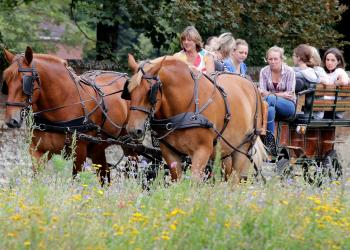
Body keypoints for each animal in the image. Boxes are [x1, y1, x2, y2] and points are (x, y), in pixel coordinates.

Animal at [1, 47, 130, 184]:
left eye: (25, 81)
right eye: (6, 81)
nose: (11, 120)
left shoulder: (79, 153)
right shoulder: (38, 151)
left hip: (129, 146)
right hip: (97, 148)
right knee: (104, 175)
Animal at [125, 54, 266, 183]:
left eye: (150, 91)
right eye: (129, 91)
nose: (133, 130)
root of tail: (252, 84)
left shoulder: (202, 151)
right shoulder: (169, 153)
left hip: (243, 148)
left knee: (235, 181)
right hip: (225, 150)